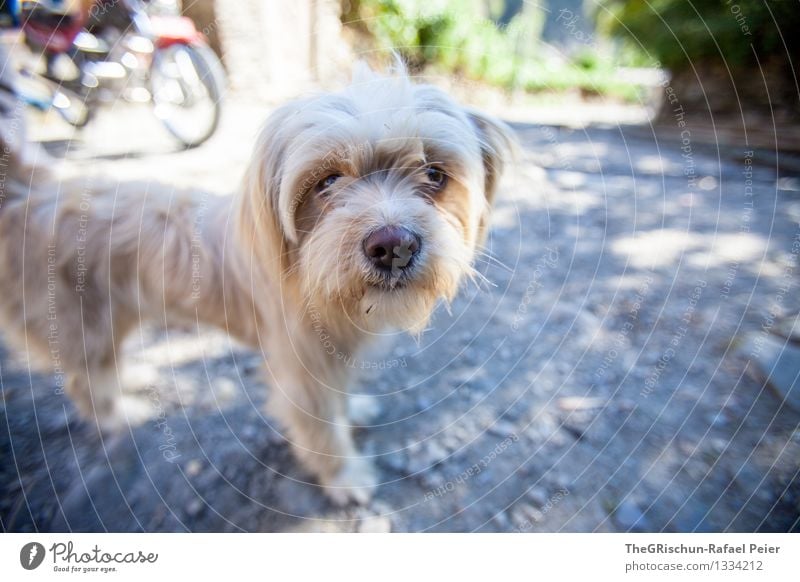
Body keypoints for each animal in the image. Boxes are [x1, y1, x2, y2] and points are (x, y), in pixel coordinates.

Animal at [0, 62, 512, 502]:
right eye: (327, 181)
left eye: (434, 174)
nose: (393, 246)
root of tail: (33, 191)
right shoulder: (302, 368)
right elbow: (321, 429)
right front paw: (345, 478)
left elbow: (340, 400)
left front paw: (354, 410)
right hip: (78, 321)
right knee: (84, 380)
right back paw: (117, 415)